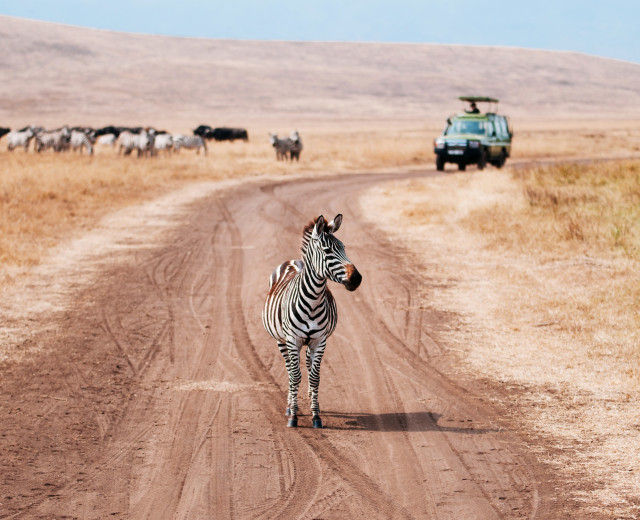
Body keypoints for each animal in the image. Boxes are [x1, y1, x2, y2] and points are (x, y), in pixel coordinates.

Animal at [260, 213, 360, 428]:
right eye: (327, 250)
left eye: (344, 248)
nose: (357, 279)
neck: (313, 300)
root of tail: (294, 260)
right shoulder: (292, 340)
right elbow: (295, 375)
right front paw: (293, 416)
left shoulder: (319, 341)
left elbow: (315, 377)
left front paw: (316, 415)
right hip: (282, 341)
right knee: (290, 370)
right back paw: (290, 405)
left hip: (308, 343)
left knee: (305, 364)